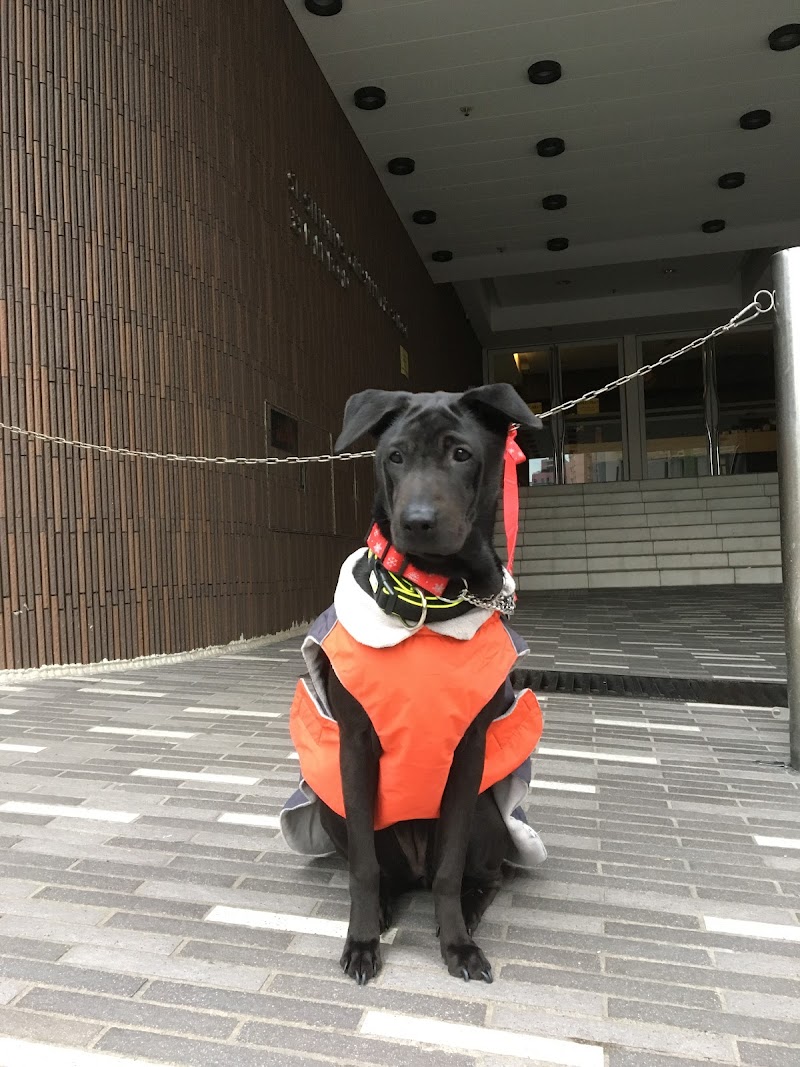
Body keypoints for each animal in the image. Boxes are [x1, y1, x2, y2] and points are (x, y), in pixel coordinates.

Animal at [280, 384, 546, 985]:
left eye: (462, 454)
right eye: (395, 456)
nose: (417, 521)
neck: (428, 599)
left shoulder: (469, 750)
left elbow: (450, 870)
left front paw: (456, 945)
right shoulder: (354, 746)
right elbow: (362, 868)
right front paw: (361, 942)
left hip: (487, 814)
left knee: (478, 876)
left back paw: (467, 912)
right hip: (333, 805)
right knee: (383, 873)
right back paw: (381, 911)